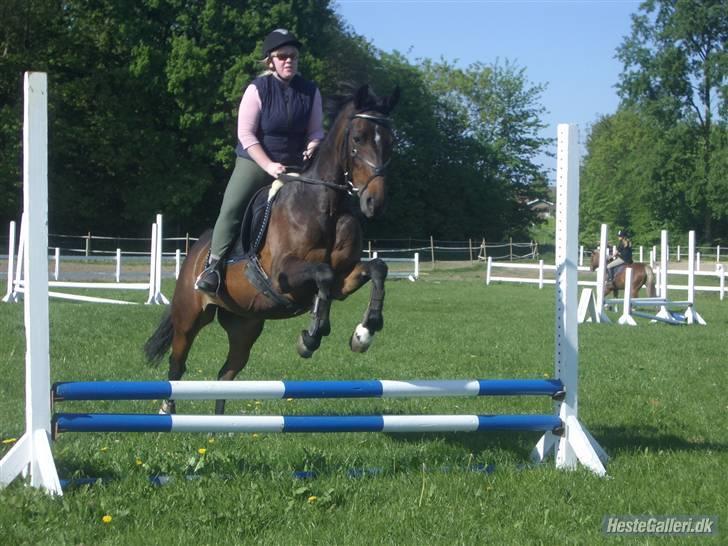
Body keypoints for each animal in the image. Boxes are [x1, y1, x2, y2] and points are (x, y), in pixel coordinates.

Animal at [144, 83, 400, 410]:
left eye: (391, 142)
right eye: (358, 138)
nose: (374, 203)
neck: (325, 206)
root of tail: (196, 252)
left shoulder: (344, 280)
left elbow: (377, 268)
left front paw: (364, 333)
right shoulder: (282, 275)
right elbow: (323, 274)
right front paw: (311, 337)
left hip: (245, 325)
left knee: (226, 374)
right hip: (189, 317)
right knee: (177, 365)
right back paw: (168, 409)